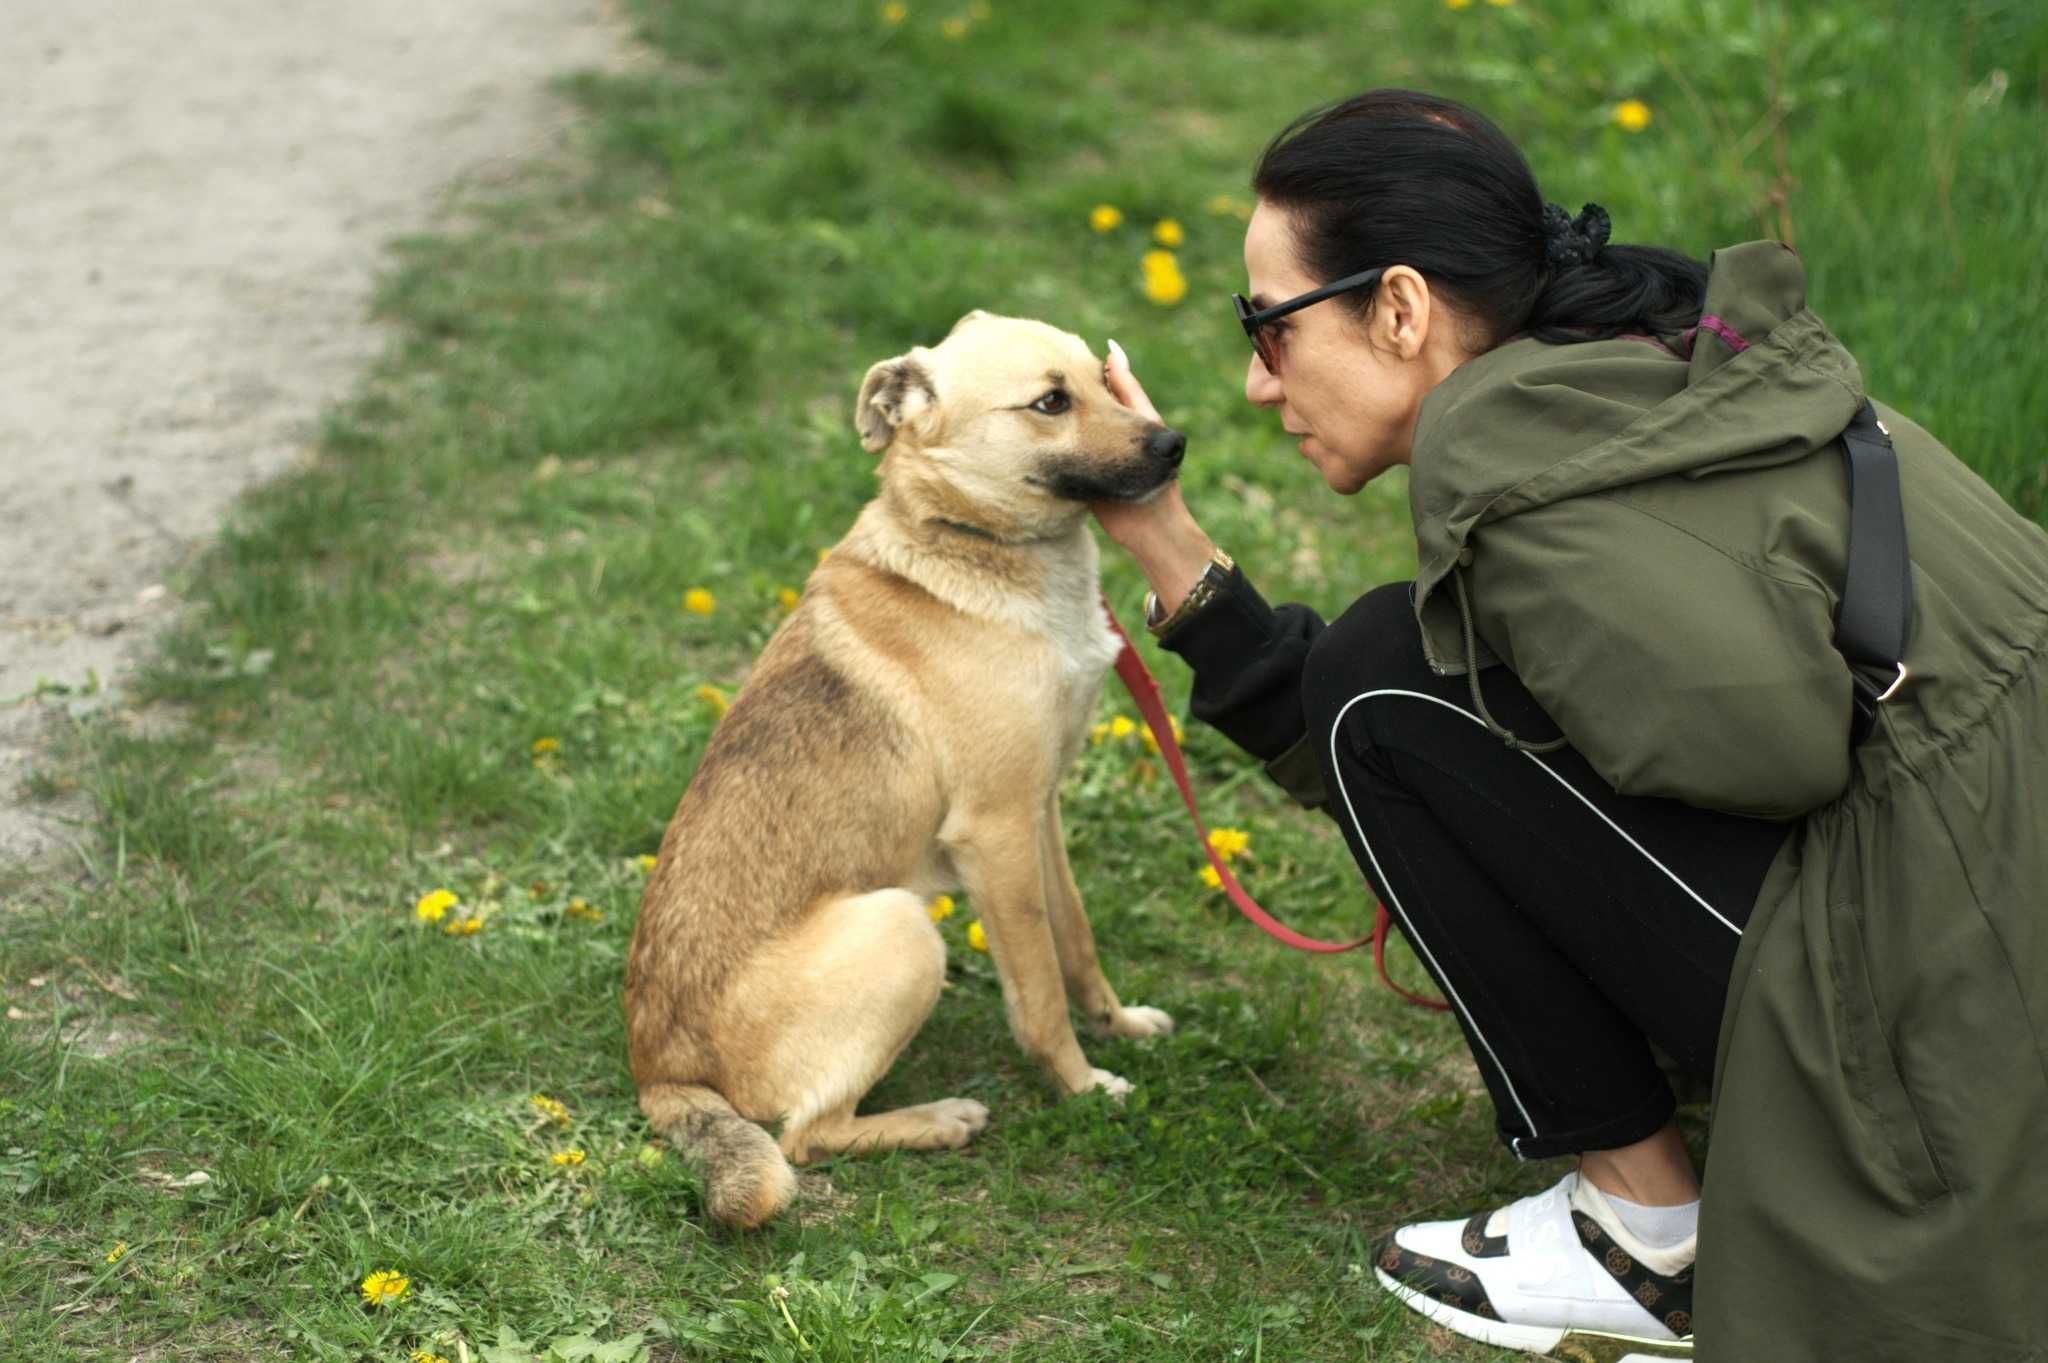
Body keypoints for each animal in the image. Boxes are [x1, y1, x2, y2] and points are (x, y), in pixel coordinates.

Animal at [630, 313, 1196, 1227]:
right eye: (1050, 402)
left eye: (1104, 378)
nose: (1175, 443)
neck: (971, 544)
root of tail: (661, 1074)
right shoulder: (996, 833)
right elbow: (1039, 993)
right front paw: (1079, 1085)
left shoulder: (1039, 812)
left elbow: (1075, 942)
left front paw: (1118, 1025)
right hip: (902, 928)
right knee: (808, 1135)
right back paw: (939, 1119)